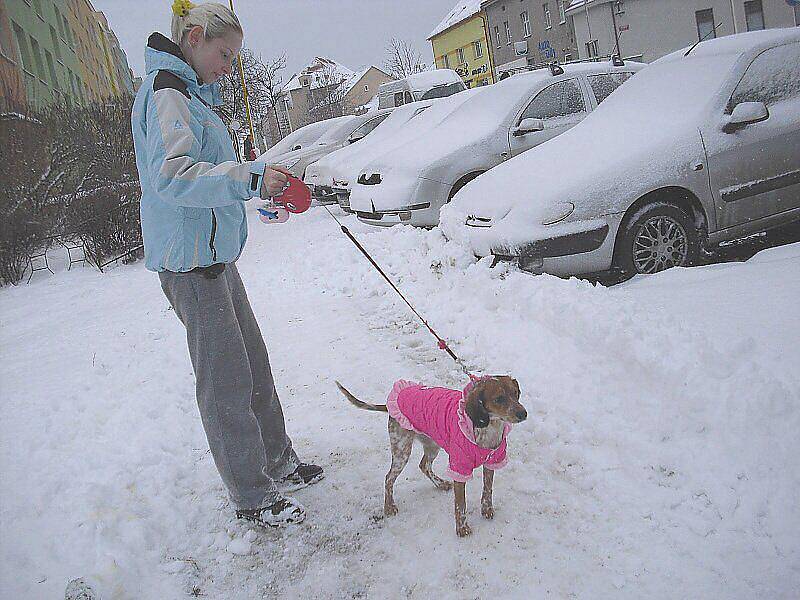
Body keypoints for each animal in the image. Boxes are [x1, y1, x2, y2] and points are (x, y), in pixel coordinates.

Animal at [336, 378, 524, 536]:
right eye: (499, 399)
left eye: (516, 393)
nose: (523, 414)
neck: (490, 428)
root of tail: (391, 404)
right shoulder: (458, 467)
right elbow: (460, 505)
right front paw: (462, 528)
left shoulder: (492, 462)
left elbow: (487, 490)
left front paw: (486, 510)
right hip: (402, 451)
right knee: (389, 478)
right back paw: (389, 506)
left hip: (432, 445)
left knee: (424, 465)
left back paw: (440, 484)